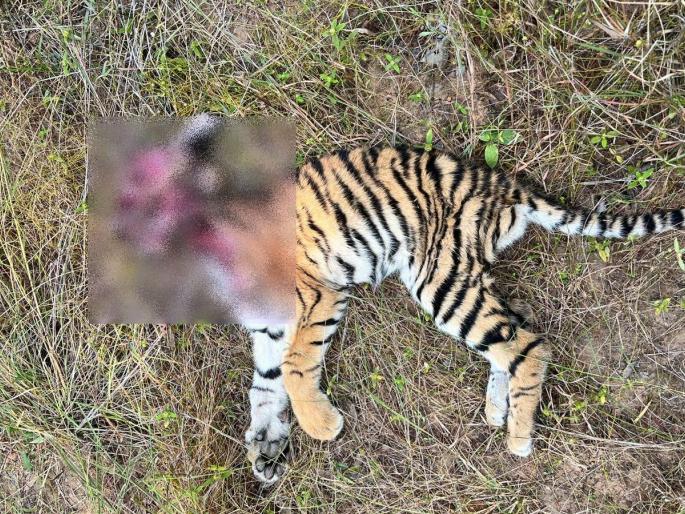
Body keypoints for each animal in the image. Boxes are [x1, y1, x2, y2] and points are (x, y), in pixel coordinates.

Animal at [108, 115, 685, 484]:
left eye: (142, 196)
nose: (113, 236)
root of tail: (501, 183)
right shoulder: (268, 328)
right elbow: (264, 387)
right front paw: (266, 450)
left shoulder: (316, 296)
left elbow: (295, 369)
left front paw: (321, 426)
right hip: (463, 278)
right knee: (513, 329)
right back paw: (497, 409)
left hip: (440, 278)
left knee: (528, 342)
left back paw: (518, 437)